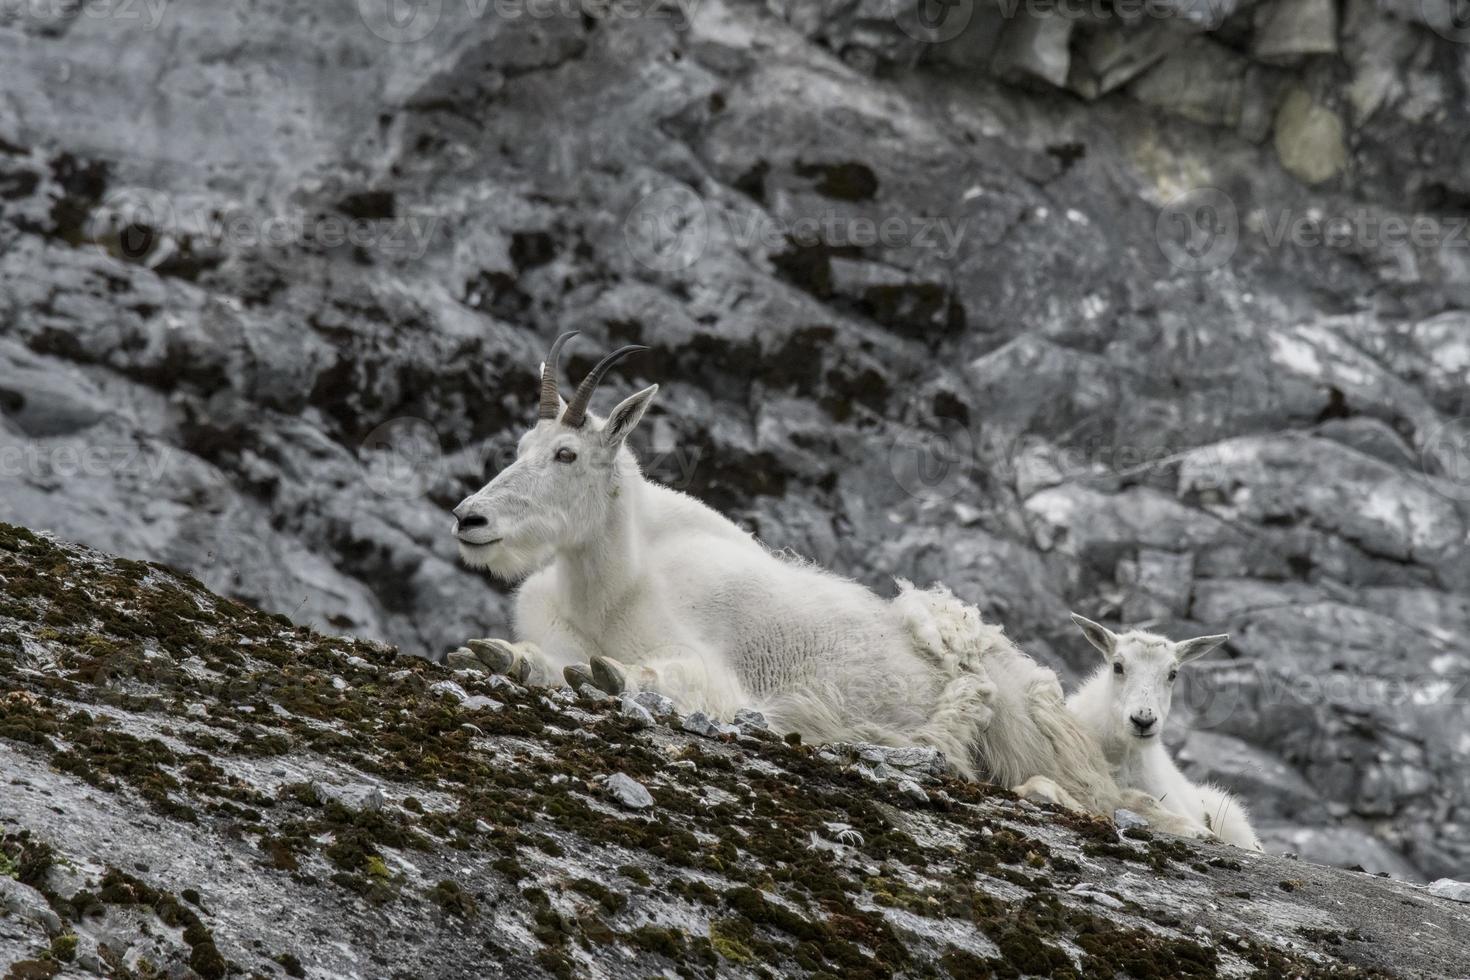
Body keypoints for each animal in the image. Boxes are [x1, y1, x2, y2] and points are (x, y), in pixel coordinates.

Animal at [452, 333, 1211, 840]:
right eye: (519, 447)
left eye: (566, 453)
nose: (469, 518)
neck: (611, 585)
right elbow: (536, 659)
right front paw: (496, 654)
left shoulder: (713, 668)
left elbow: (661, 677)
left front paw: (606, 674)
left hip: (1030, 733)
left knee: (1101, 799)